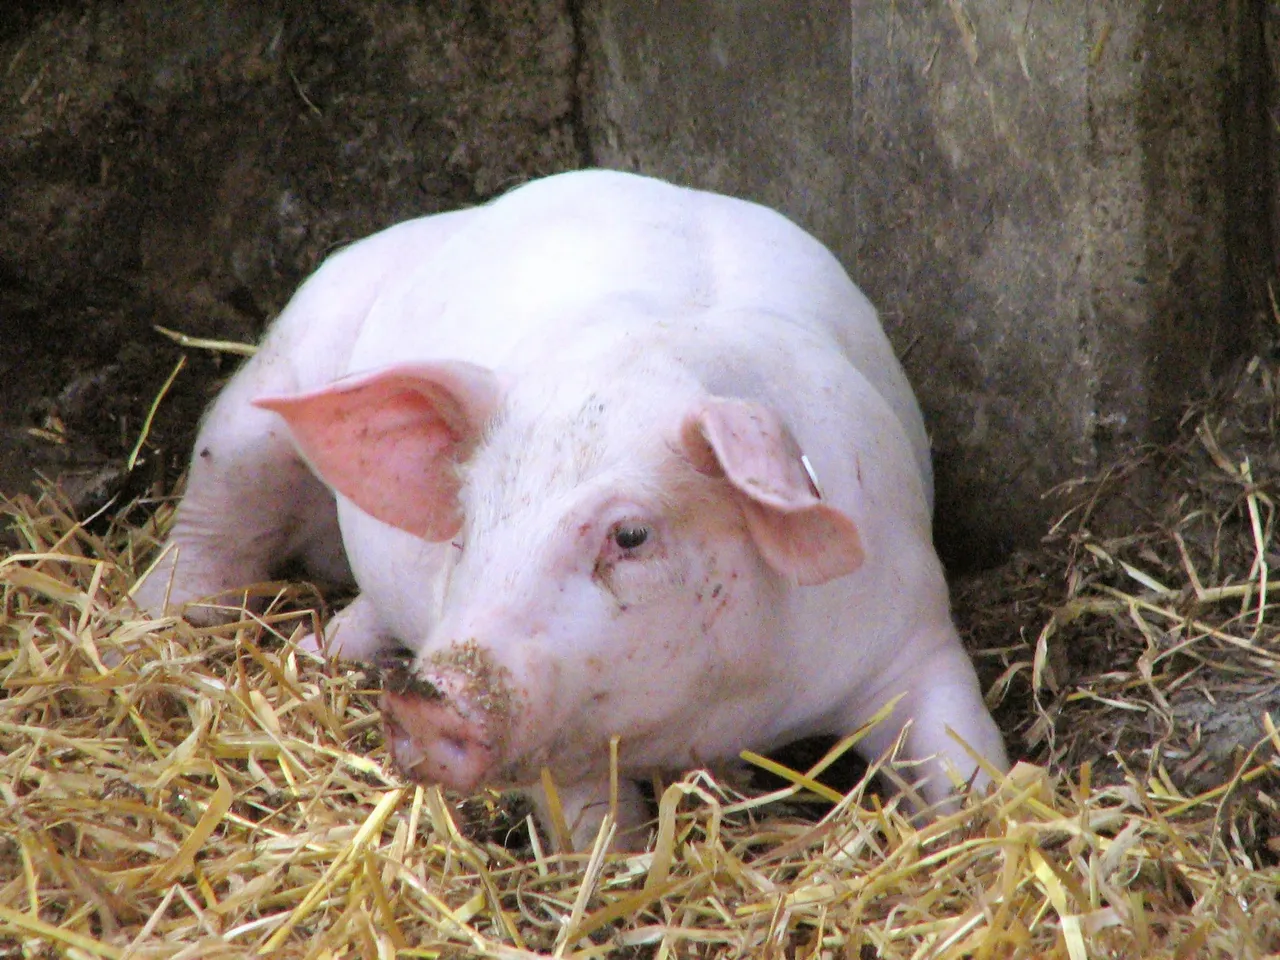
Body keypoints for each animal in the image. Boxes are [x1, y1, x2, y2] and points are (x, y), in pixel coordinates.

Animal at [133, 169, 1008, 850]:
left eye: (631, 534)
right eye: (470, 518)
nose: (427, 698)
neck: (727, 709)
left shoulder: (911, 623)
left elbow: (965, 753)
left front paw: (986, 818)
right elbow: (593, 832)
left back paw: (328, 650)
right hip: (272, 384)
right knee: (214, 517)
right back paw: (160, 623)